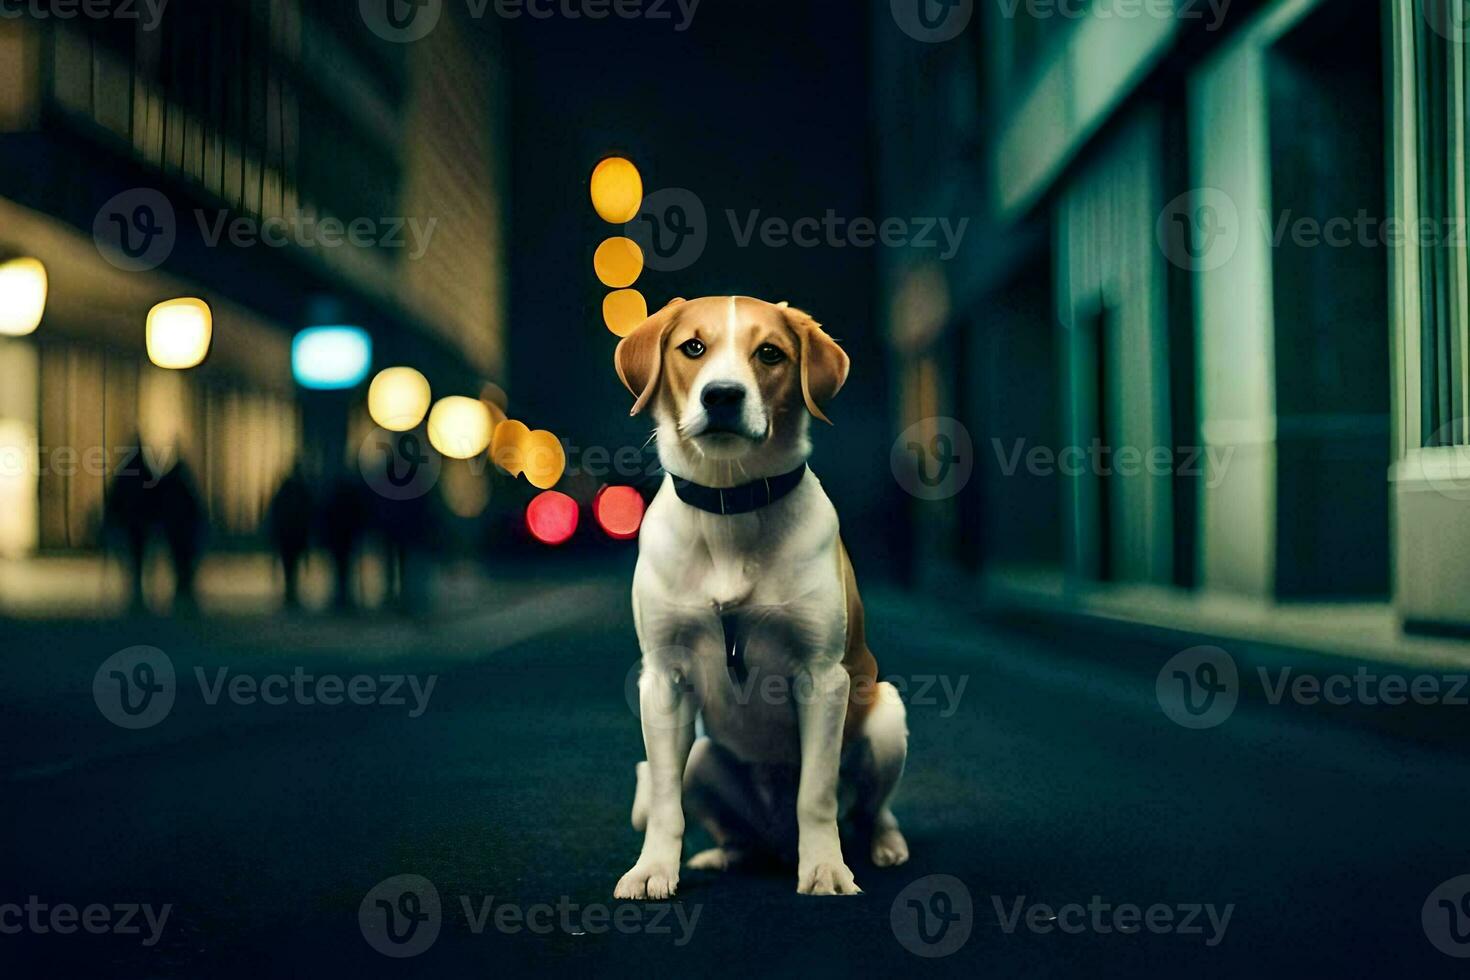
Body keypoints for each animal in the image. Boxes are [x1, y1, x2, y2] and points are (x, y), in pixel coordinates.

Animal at [608, 295, 905, 899]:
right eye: (693, 347)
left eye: (769, 353)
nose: (722, 395)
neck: (730, 501)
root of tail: (776, 842)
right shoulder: (663, 678)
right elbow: (665, 802)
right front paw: (652, 870)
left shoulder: (824, 678)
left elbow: (815, 794)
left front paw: (825, 869)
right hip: (701, 758)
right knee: (727, 824)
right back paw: (727, 854)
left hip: (887, 714)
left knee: (869, 810)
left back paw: (883, 844)